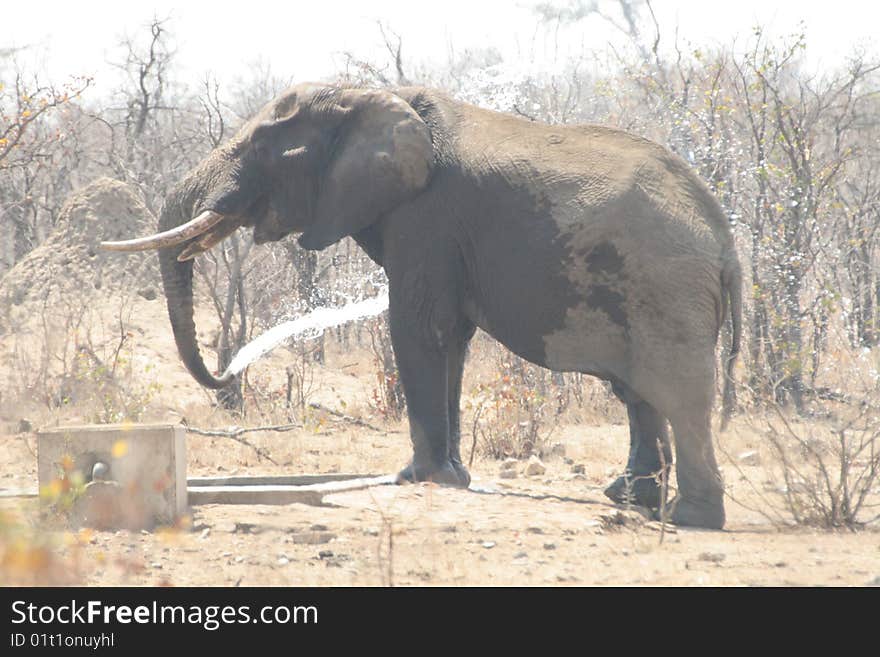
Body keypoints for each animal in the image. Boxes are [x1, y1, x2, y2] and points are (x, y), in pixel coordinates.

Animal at [99, 82, 740, 532]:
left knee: (678, 395)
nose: (227, 374)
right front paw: (452, 477)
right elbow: (450, 337)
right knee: (639, 394)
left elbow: (419, 327)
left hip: (666, 287)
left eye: (261, 146)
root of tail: (725, 240)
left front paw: (418, 479)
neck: (372, 94)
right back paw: (629, 499)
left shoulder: (427, 217)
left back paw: (690, 519)